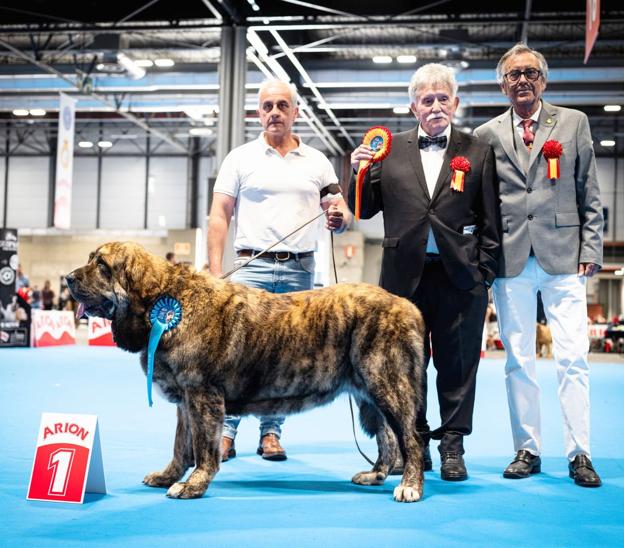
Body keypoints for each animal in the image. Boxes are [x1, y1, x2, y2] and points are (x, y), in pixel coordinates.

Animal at [67, 242, 428, 504]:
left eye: (102, 266)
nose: (69, 278)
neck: (167, 300)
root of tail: (408, 306)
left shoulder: (202, 395)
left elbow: (203, 448)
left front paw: (192, 485)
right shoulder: (186, 401)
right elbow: (180, 445)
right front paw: (168, 476)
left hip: (387, 384)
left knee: (411, 439)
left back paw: (410, 485)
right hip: (369, 395)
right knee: (388, 438)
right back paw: (375, 474)